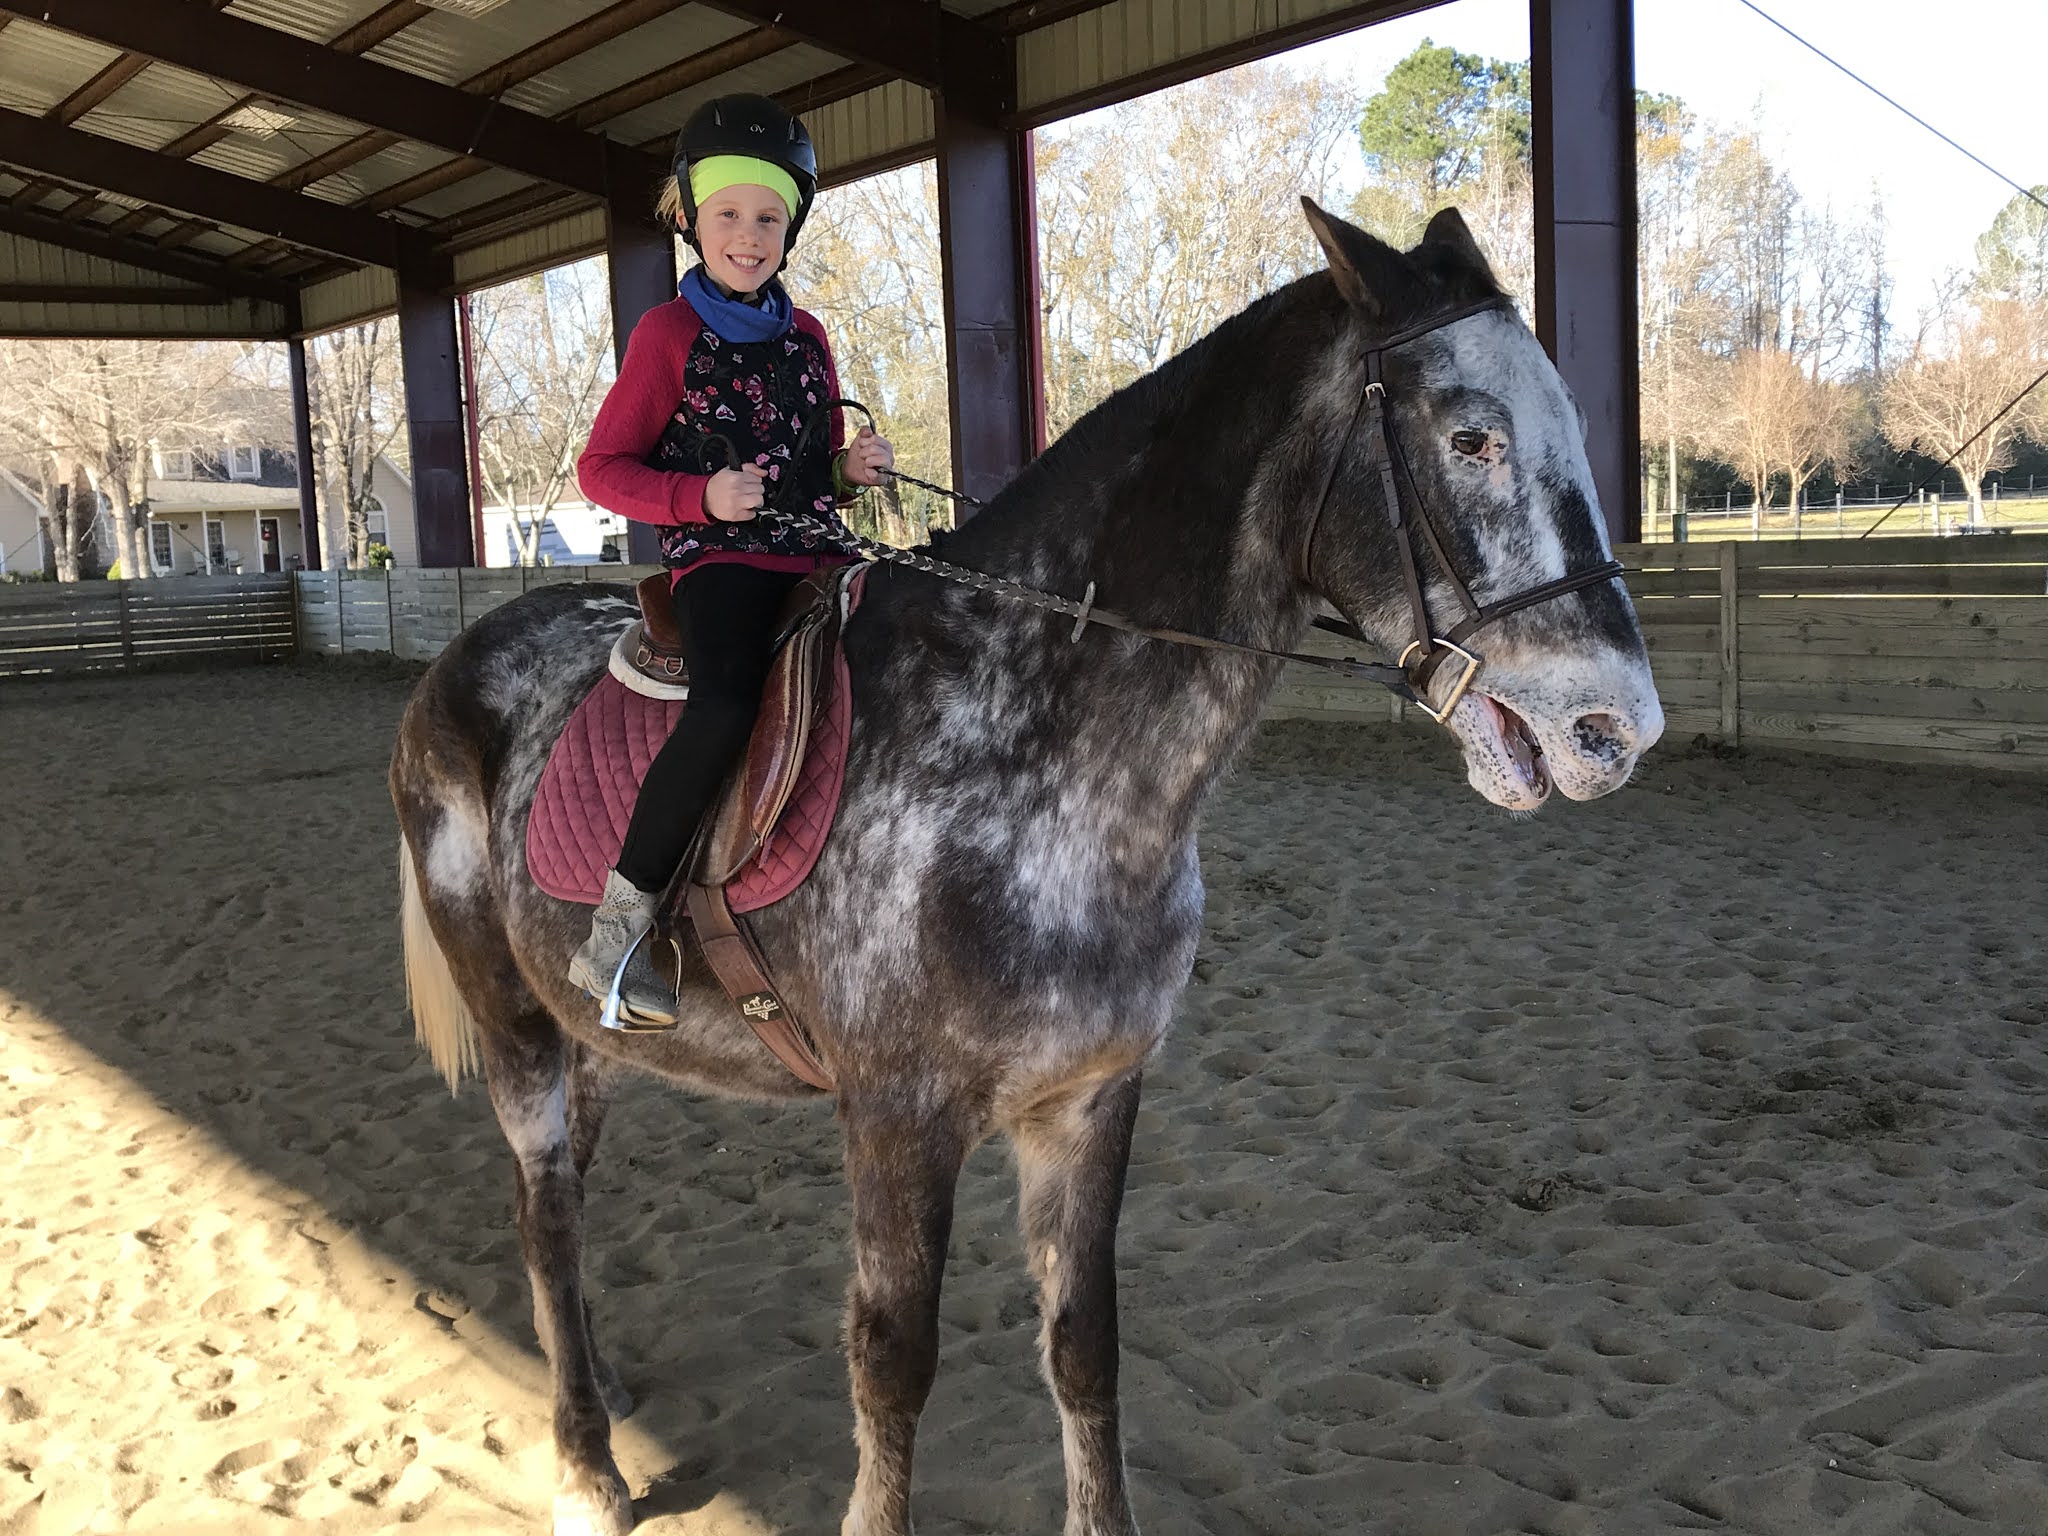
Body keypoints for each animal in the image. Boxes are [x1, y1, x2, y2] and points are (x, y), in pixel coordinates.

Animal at [388, 201, 1663, 1536]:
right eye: (1469, 436)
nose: (1615, 727)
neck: (1036, 757)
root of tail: (461, 661)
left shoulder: (1089, 1100)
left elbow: (1083, 1342)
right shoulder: (897, 1117)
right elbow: (892, 1361)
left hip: (583, 1033)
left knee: (568, 1197)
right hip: (514, 1019)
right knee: (543, 1205)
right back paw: (586, 1463)